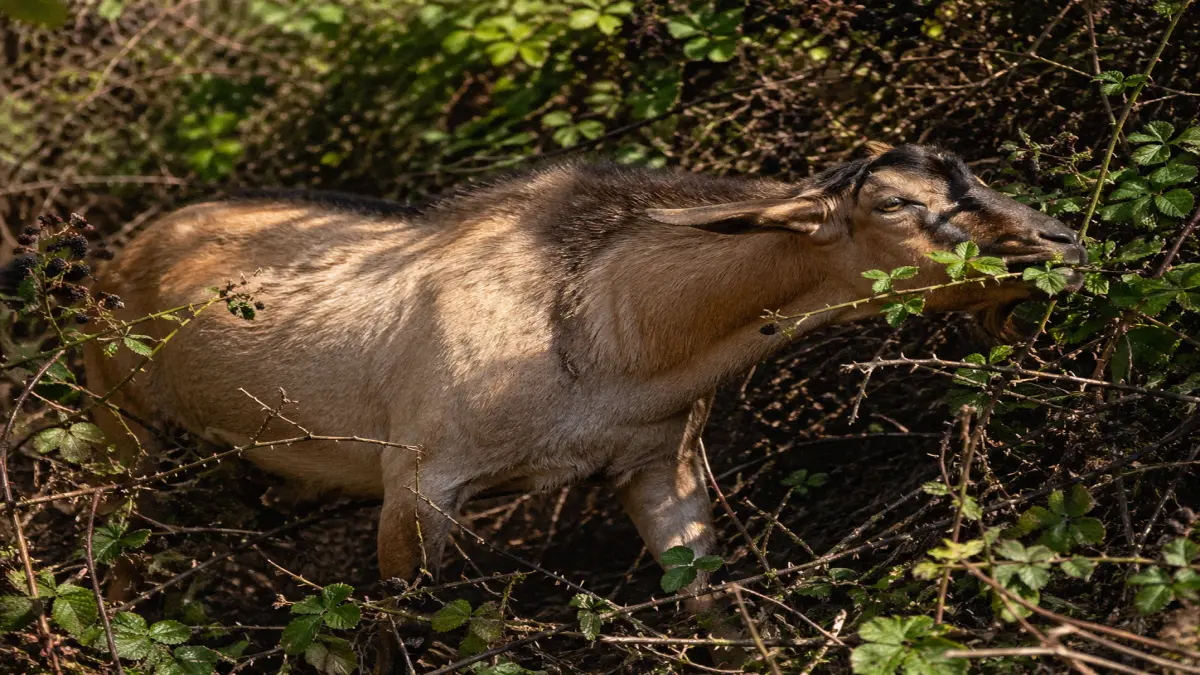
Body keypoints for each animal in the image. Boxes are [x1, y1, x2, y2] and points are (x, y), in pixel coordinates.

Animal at [84, 143, 1083, 659]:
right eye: (902, 206)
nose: (1061, 241)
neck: (608, 324)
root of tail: (126, 251)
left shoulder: (656, 462)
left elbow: (708, 601)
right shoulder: (421, 483)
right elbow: (416, 629)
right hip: (118, 421)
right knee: (117, 548)